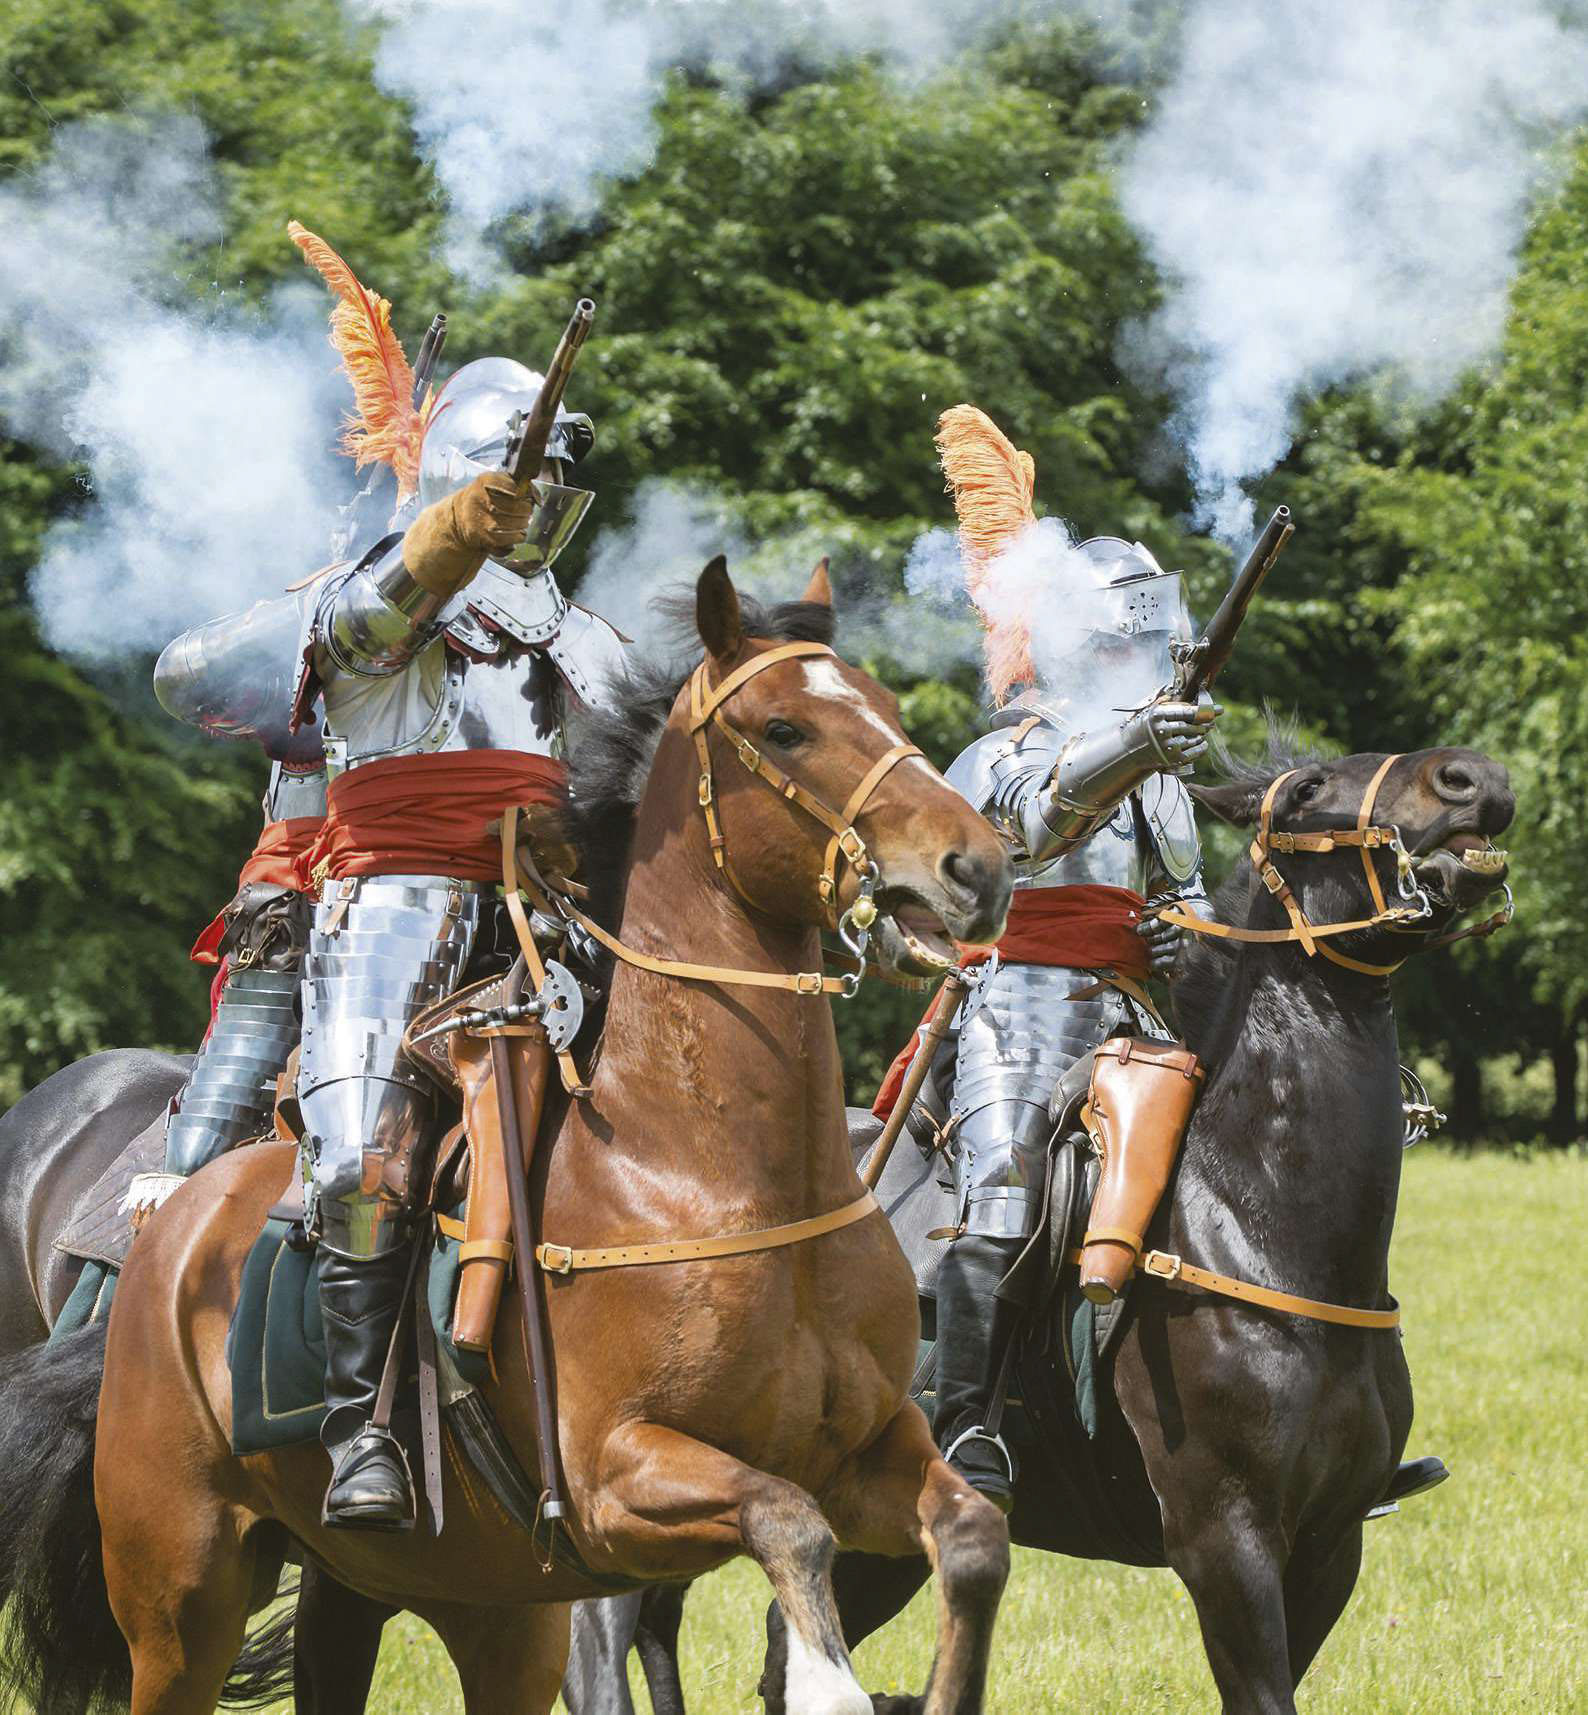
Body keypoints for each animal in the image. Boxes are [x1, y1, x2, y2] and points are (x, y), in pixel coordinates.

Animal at [0, 562, 1022, 1715]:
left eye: (886, 709)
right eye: (785, 727)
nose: (975, 867)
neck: (706, 1174)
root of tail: (171, 1227)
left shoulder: (869, 1450)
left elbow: (973, 1536)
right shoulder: (620, 1481)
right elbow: (785, 1522)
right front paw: (823, 1680)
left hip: (451, 1604)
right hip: (181, 1601)